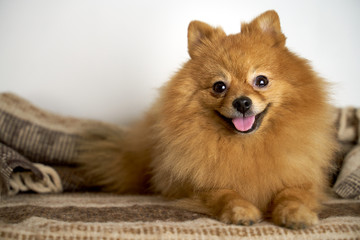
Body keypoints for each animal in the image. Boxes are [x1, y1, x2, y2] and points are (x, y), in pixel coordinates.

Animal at [79, 10, 338, 229]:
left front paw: (296, 213)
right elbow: (224, 194)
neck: (247, 145)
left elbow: (293, 194)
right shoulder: (194, 186)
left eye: (261, 81)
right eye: (219, 86)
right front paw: (240, 210)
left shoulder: (300, 179)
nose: (242, 103)